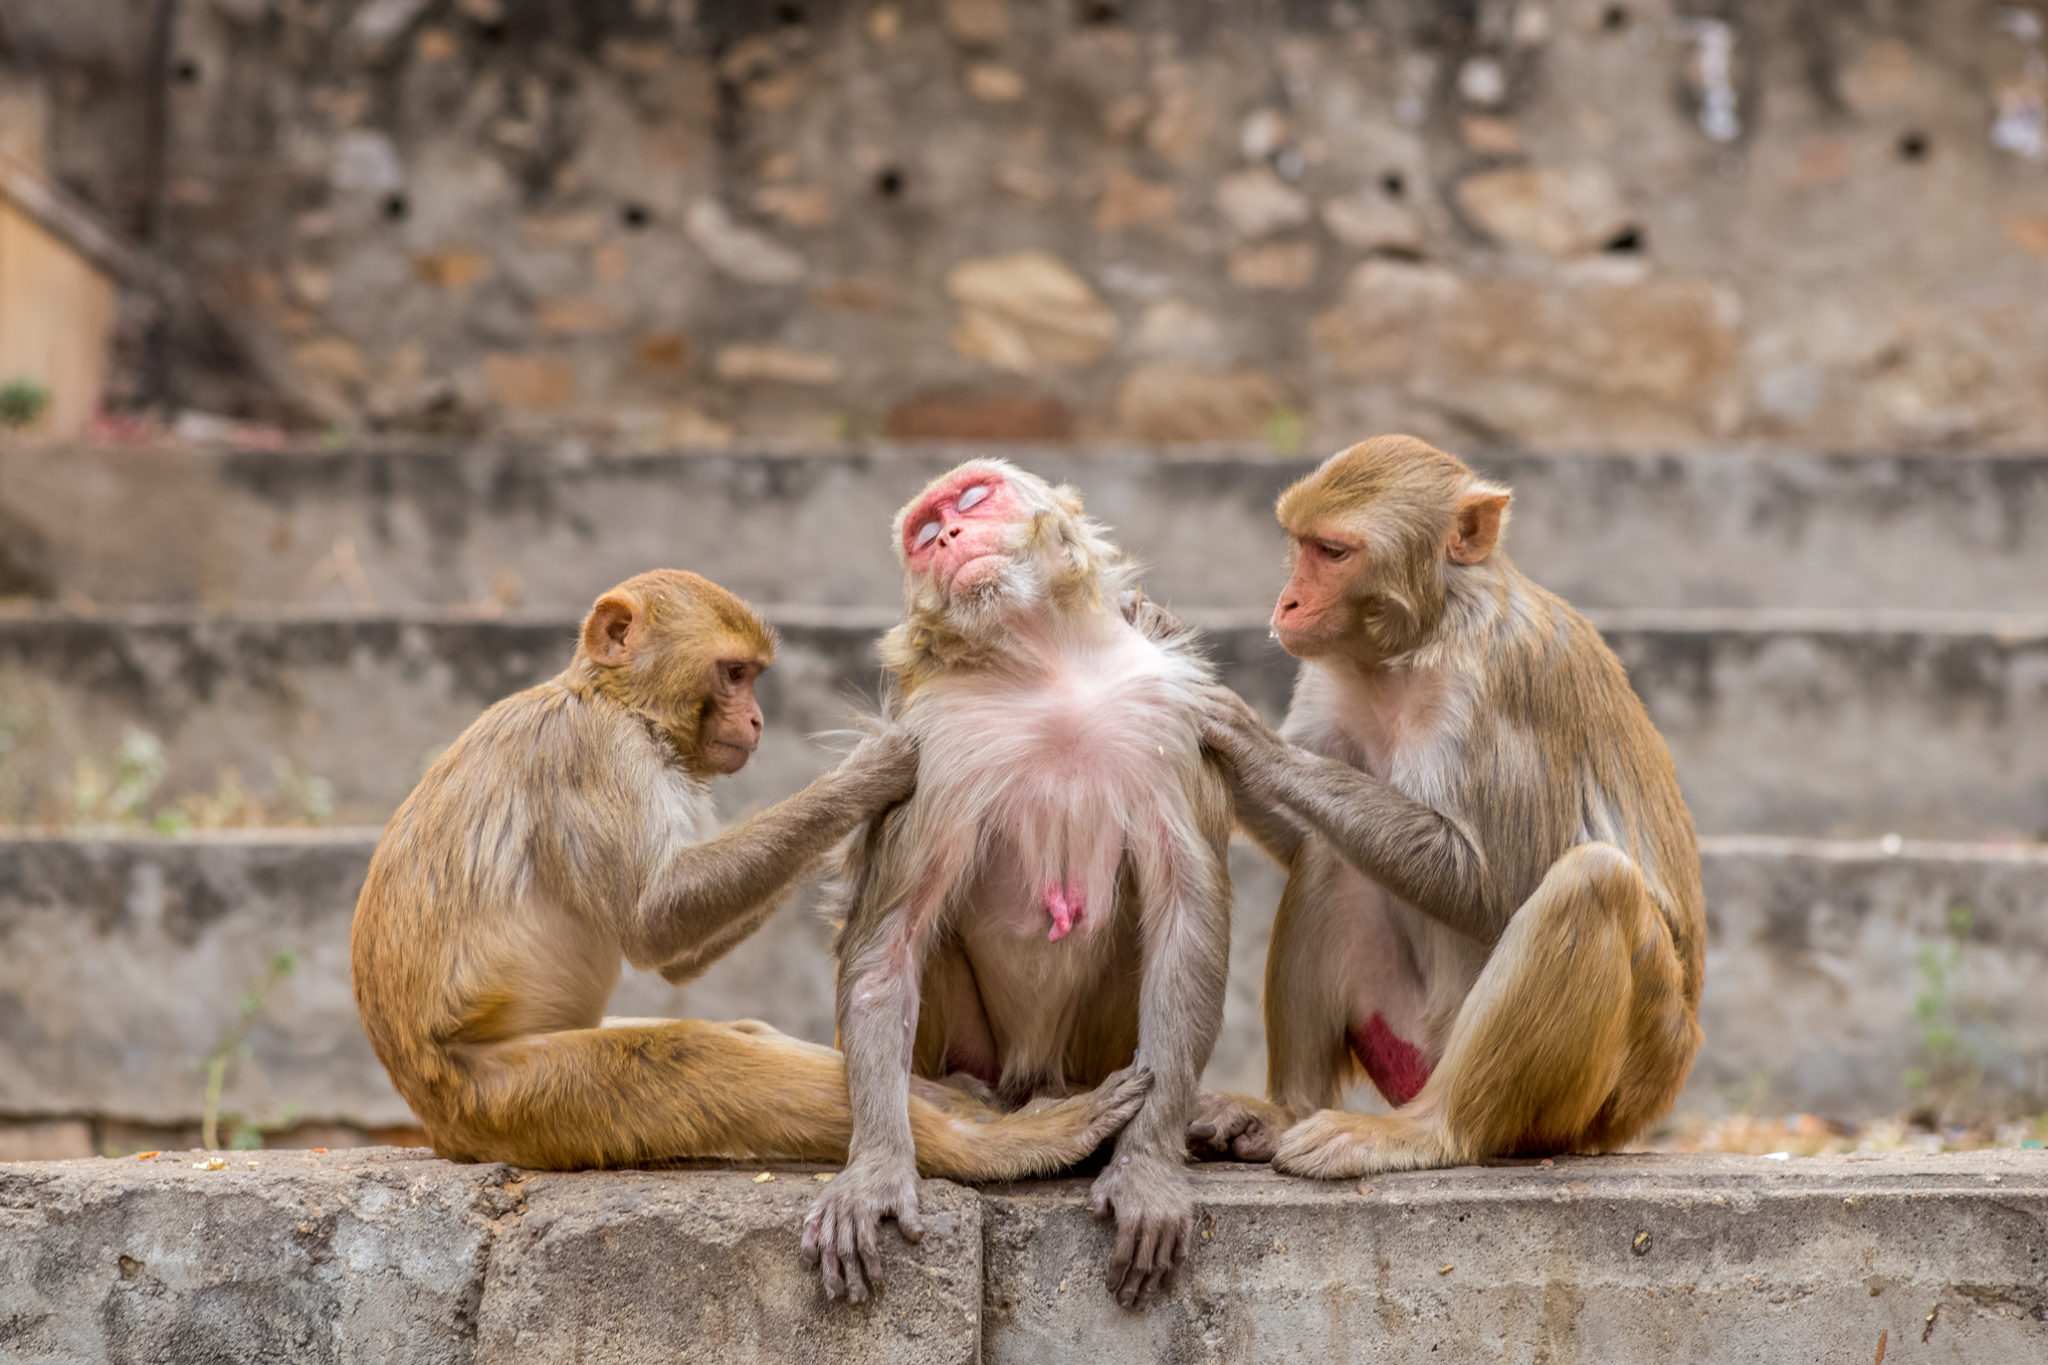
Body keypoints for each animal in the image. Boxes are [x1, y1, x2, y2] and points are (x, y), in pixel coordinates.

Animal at [349, 568, 1149, 1175]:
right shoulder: (597, 754)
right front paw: (864, 777)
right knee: (688, 1057)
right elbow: (652, 922)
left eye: (754, 678)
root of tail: (433, 1118)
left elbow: (677, 954)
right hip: (509, 1095)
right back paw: (1004, 1146)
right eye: (733, 674)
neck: (619, 703)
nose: (758, 720)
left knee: (741, 1033)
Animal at [801, 461, 1233, 1307]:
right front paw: (877, 1169)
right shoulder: (933, 742)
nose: (949, 536)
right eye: (922, 534)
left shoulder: (1168, 709)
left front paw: (1147, 1170)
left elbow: (1187, 915)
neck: (1045, 669)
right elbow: (888, 943)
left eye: (972, 499)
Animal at [1185, 435, 1705, 1179]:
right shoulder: (1329, 670)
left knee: (1593, 881)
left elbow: (1494, 885)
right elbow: (1297, 836)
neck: (1416, 647)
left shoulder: (1505, 681)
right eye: (1300, 544)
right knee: (1332, 853)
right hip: (1406, 1035)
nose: (1286, 603)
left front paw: (1253, 742)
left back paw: (1431, 1132)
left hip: (1601, 1095)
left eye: (1333, 552)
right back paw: (1286, 1110)